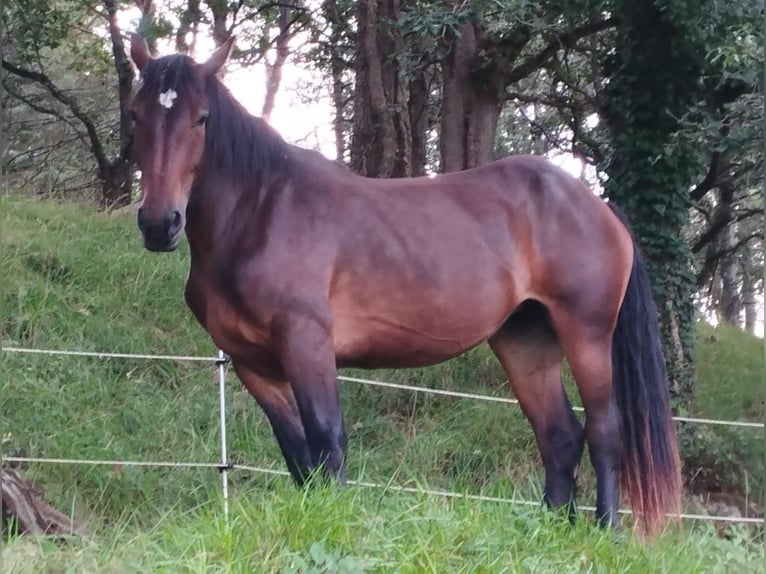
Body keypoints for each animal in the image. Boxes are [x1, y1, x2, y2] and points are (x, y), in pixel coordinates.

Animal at [127, 35, 681, 538]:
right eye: (136, 115)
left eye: (202, 118)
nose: (159, 224)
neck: (260, 211)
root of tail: (596, 204)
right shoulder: (252, 364)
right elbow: (297, 454)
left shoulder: (307, 343)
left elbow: (328, 441)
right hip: (525, 340)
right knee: (559, 436)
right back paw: (550, 531)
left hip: (587, 334)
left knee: (605, 431)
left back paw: (605, 531)